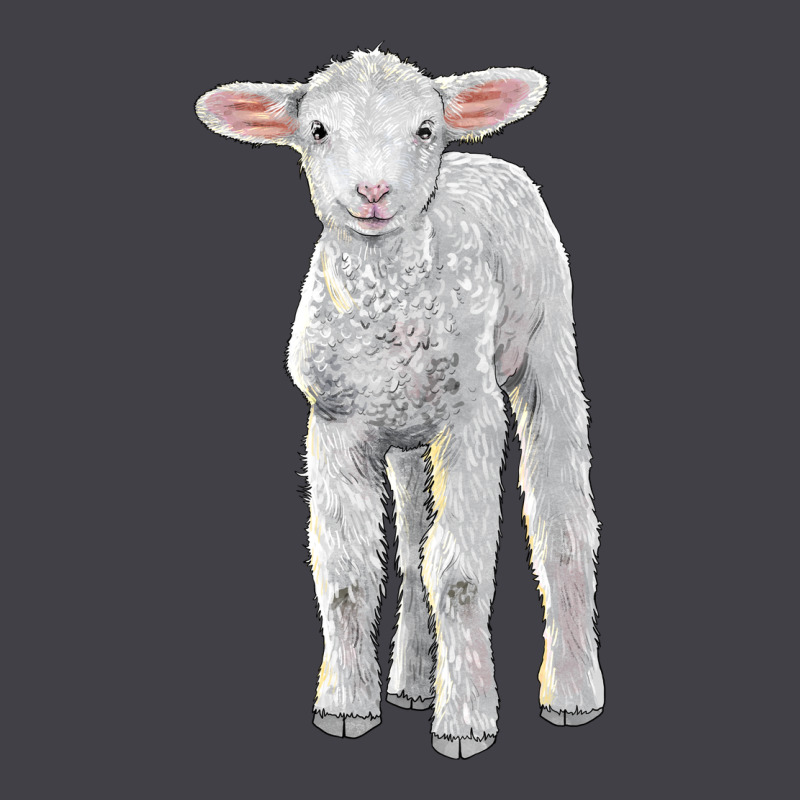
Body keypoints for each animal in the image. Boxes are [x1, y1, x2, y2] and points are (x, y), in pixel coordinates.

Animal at [196, 48, 604, 759]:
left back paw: (572, 691)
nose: (373, 192)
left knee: (560, 520)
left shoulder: (472, 419)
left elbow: (461, 574)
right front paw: (345, 706)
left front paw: (466, 721)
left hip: (547, 345)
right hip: (407, 433)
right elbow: (347, 574)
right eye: (318, 130)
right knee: (414, 541)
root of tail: (481, 158)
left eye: (423, 129)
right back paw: (412, 682)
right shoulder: (334, 424)